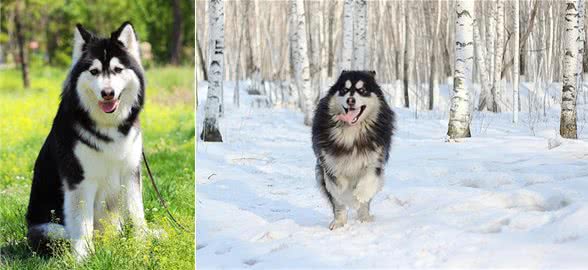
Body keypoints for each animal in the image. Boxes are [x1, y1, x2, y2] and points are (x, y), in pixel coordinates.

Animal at [26, 22, 148, 258]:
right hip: (48, 229)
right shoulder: (80, 179)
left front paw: (142, 244)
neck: (108, 126)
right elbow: (83, 224)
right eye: (94, 71)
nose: (108, 93)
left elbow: (136, 211)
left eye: (117, 70)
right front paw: (82, 257)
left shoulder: (130, 171)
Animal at [312, 70, 396, 230]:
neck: (352, 131)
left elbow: (368, 180)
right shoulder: (328, 162)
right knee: (338, 205)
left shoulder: (375, 159)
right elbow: (337, 187)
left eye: (362, 90)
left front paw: (360, 195)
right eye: (344, 90)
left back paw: (365, 218)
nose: (350, 100)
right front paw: (345, 194)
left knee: (364, 205)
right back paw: (338, 222)